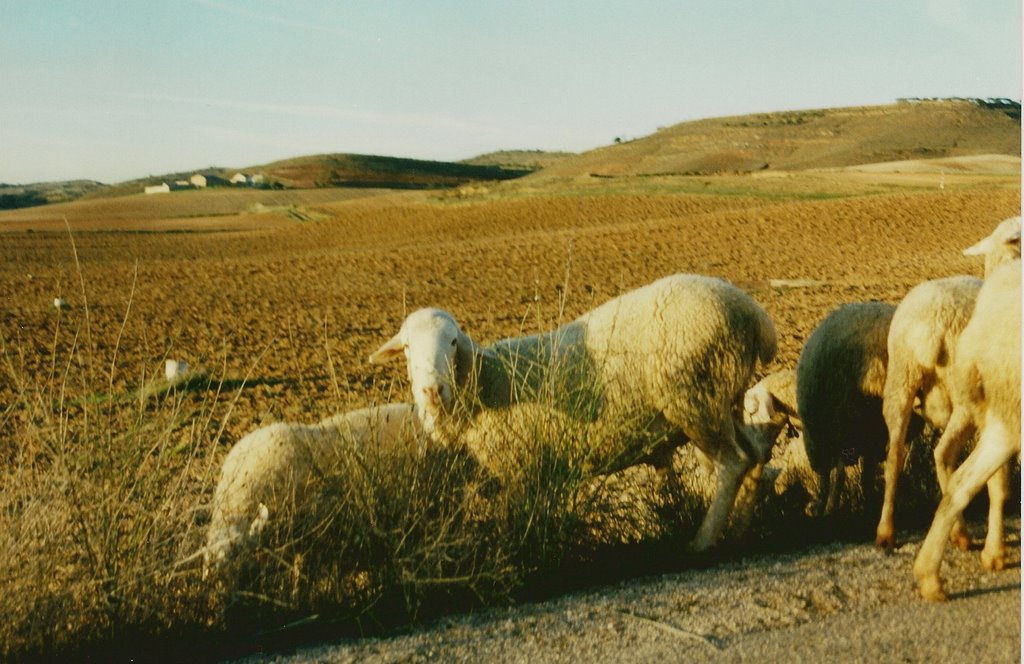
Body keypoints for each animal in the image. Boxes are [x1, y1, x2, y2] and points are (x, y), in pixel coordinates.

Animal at [372, 272, 778, 553]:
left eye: (454, 342)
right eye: (406, 347)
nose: (432, 390)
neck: (482, 386)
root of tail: (753, 312)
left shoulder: (520, 466)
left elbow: (518, 521)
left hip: (695, 397)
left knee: (732, 462)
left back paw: (703, 541)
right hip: (724, 397)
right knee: (755, 455)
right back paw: (738, 531)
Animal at [876, 215, 1019, 549]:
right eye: (1014, 238)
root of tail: (930, 326)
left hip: (901, 380)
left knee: (896, 455)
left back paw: (886, 531)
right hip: (965, 399)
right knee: (947, 456)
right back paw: (965, 535)